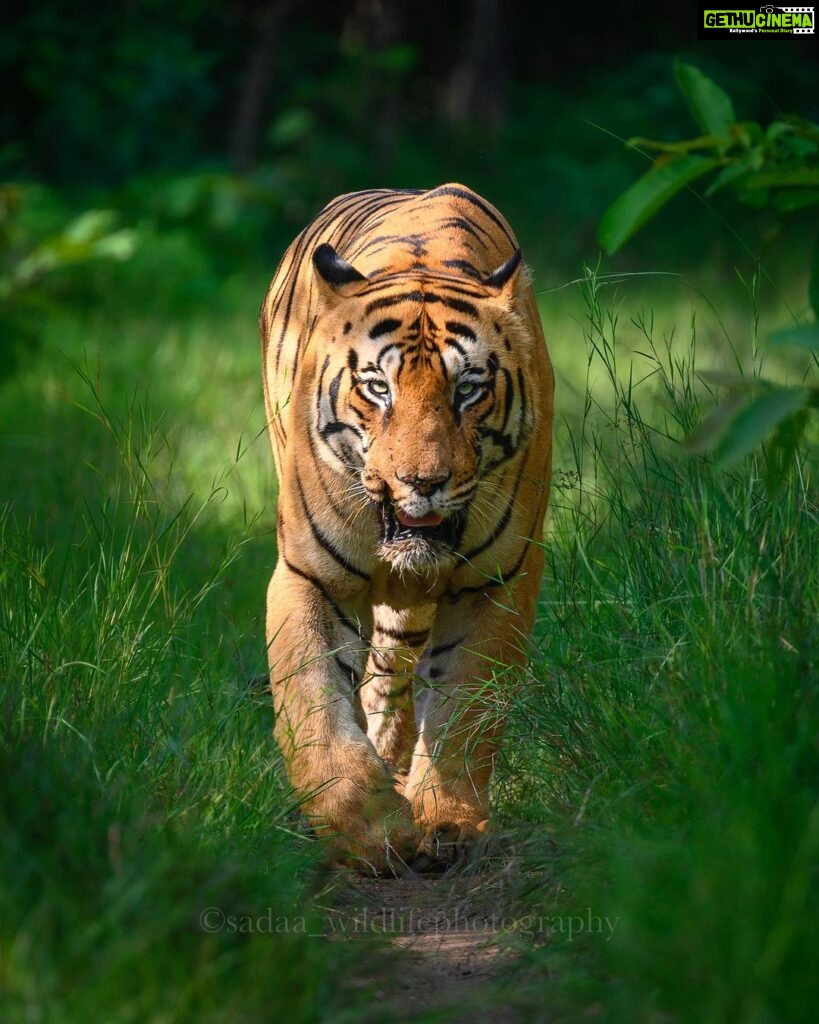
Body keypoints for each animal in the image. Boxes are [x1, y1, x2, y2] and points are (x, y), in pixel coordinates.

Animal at [261, 184, 556, 872]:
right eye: (377, 388)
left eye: (468, 389)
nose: (422, 482)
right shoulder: (307, 575)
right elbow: (311, 701)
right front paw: (367, 830)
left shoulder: (497, 584)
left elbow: (467, 711)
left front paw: (444, 821)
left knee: (393, 669)